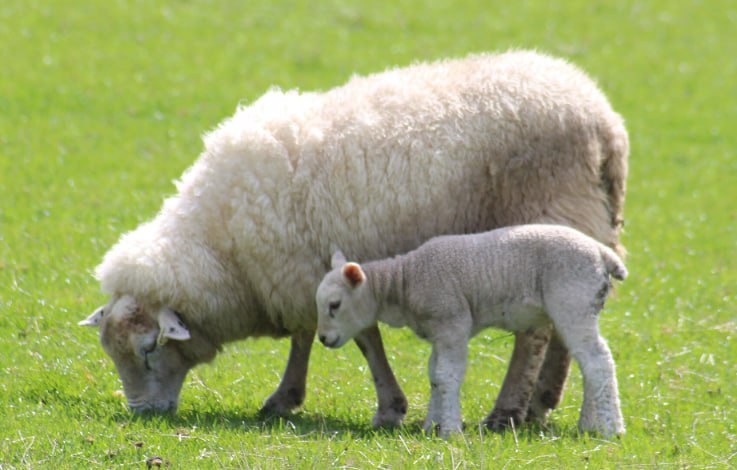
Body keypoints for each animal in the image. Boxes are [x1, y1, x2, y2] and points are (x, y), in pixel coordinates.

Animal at [316, 224, 628, 436]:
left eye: (334, 305)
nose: (323, 338)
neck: (405, 281)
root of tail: (603, 254)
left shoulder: (452, 321)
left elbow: (448, 375)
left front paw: (450, 431)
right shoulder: (439, 330)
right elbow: (435, 376)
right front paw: (432, 425)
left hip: (573, 300)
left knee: (599, 360)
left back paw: (611, 428)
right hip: (578, 305)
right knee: (588, 362)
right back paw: (589, 425)